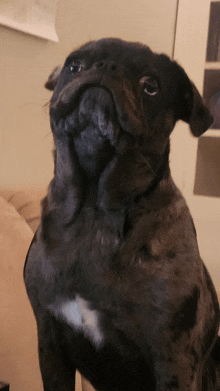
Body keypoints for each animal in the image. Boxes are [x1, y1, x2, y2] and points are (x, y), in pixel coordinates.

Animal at [24, 37, 220, 391]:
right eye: (74, 65)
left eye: (151, 86)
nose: (106, 66)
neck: (93, 209)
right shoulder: (50, 341)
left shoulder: (173, 360)